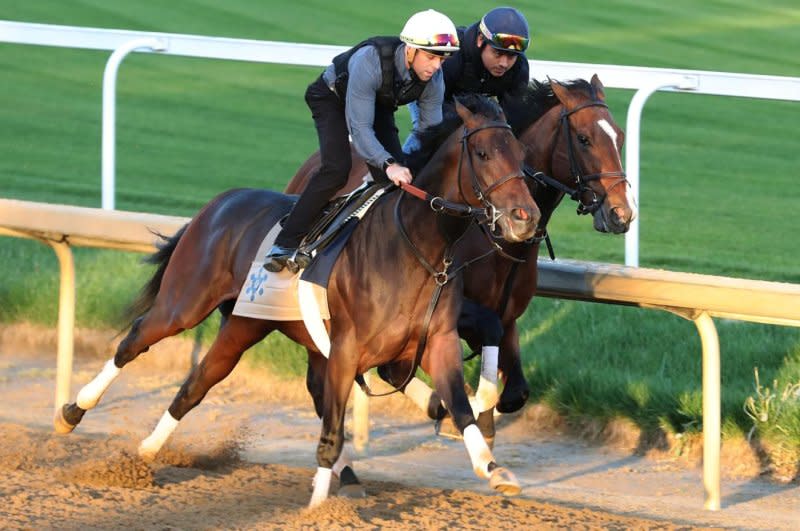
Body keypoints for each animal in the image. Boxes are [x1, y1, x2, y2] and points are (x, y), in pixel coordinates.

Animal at [53, 94, 540, 508]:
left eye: (521, 154)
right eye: (483, 154)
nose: (526, 217)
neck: (416, 246)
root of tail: (219, 202)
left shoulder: (435, 341)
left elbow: (458, 406)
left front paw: (494, 468)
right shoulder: (346, 348)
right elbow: (333, 430)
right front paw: (318, 508)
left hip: (244, 325)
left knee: (197, 383)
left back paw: (147, 450)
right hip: (184, 302)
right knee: (134, 340)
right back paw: (72, 412)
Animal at [288, 74, 636, 440]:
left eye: (619, 137)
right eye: (584, 139)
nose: (622, 213)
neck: (497, 240)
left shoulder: (507, 316)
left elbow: (515, 392)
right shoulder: (456, 310)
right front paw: (455, 410)